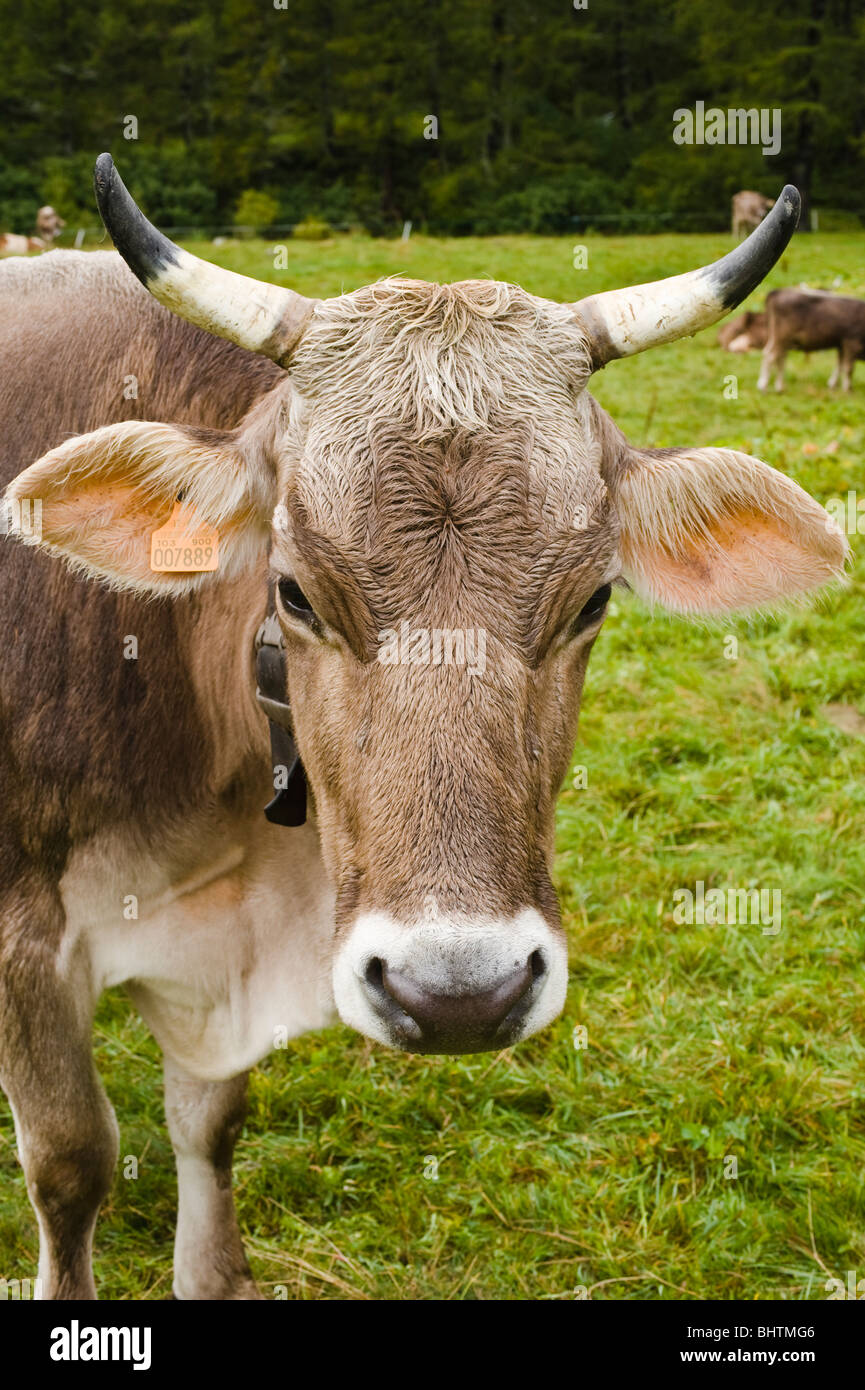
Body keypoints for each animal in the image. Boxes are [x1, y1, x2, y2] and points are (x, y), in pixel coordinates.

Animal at [0, 162, 845, 1300]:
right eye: (295, 592)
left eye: (593, 600)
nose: (458, 995)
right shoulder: (25, 940)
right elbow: (72, 1159)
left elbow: (211, 1126)